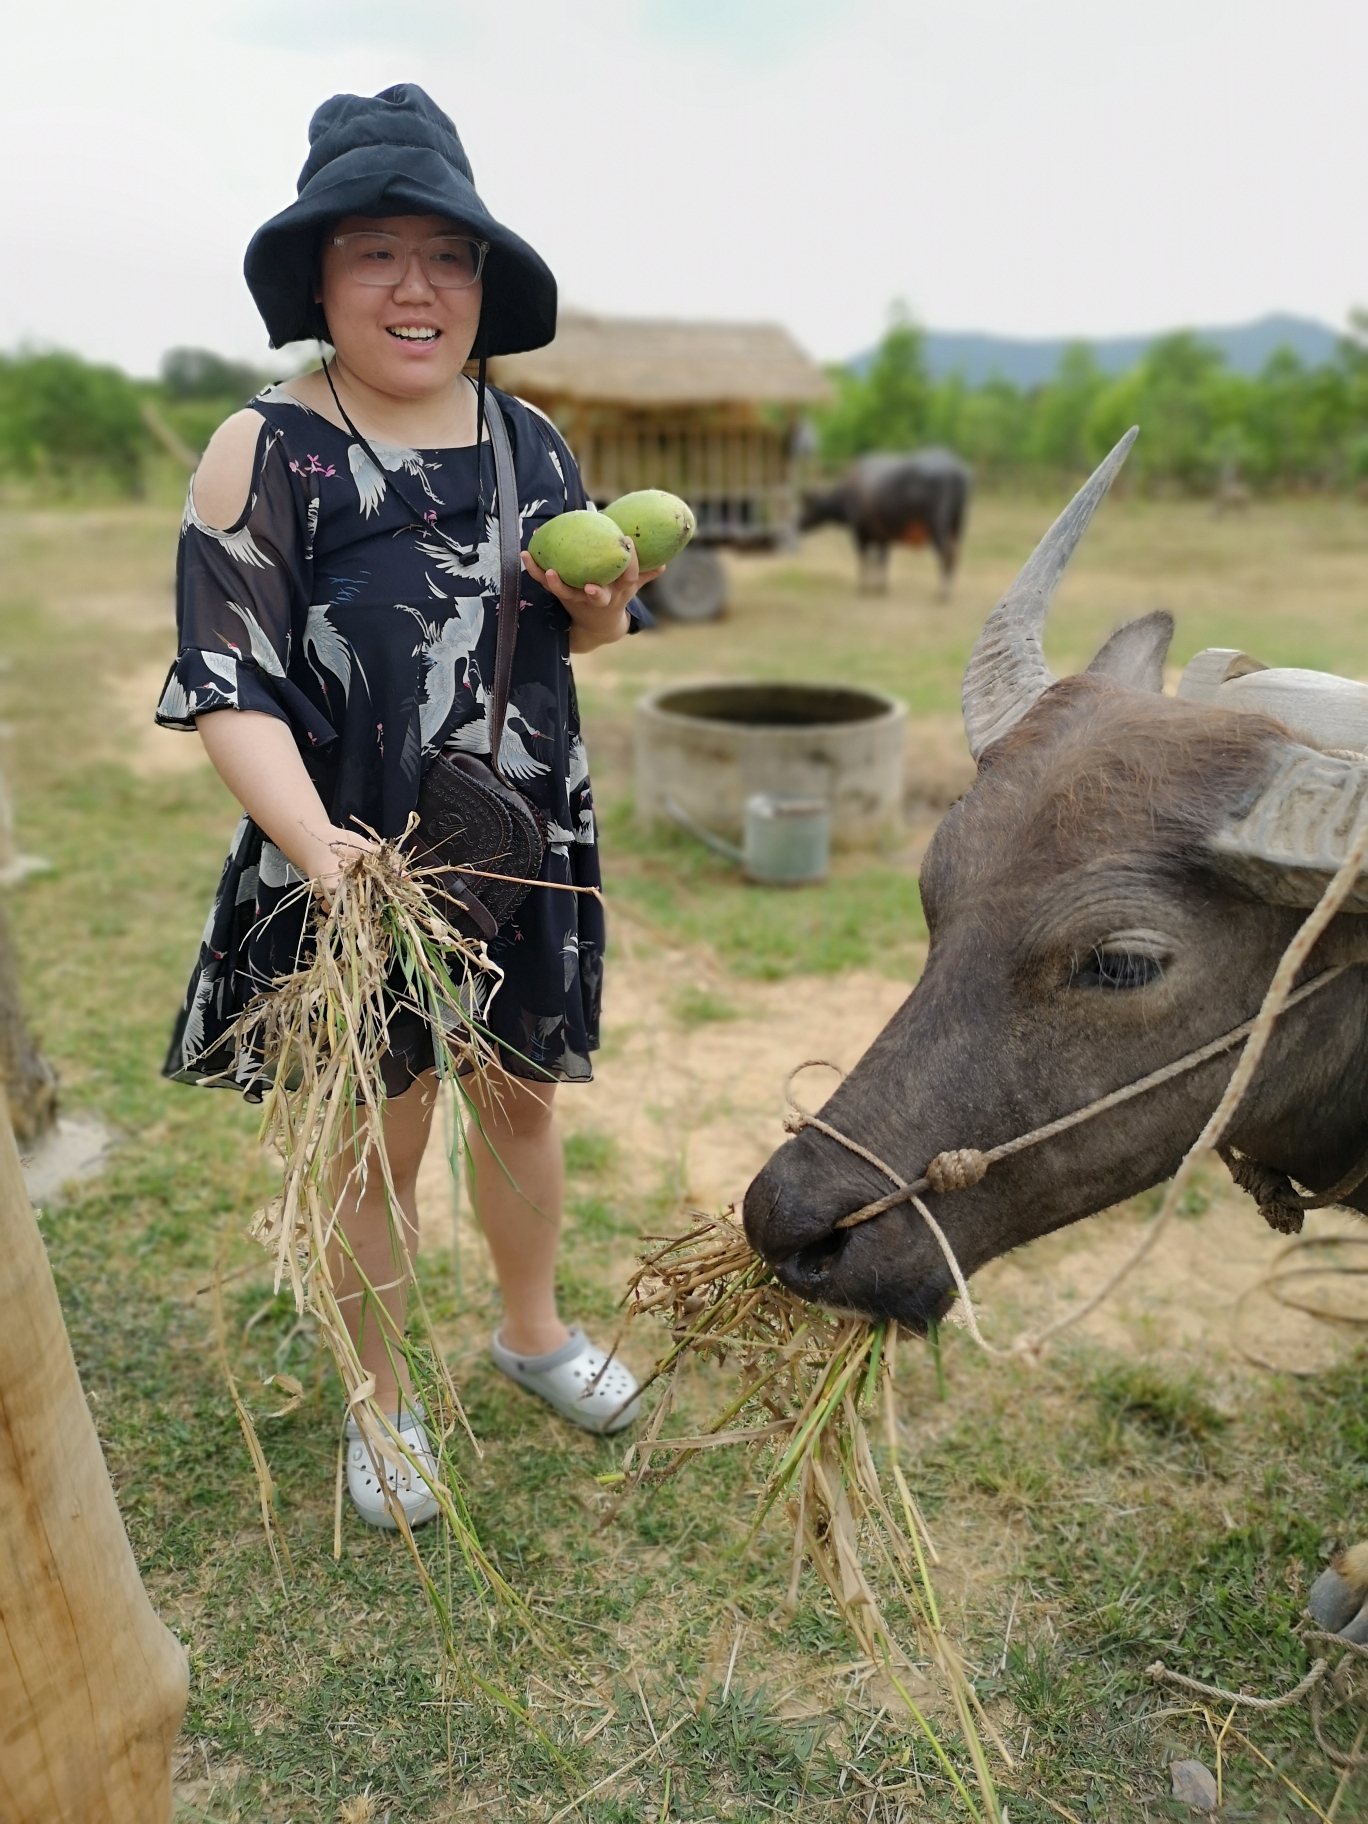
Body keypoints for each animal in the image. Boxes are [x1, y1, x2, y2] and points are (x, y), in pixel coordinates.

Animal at [802, 448, 977, 598]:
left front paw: (863, 587)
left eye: (809, 507)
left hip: (937, 525)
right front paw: (880, 586)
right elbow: (881, 560)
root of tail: (955, 470)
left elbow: (865, 559)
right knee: (956, 553)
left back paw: (943, 592)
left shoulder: (860, 533)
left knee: (946, 553)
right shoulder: (882, 536)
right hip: (958, 524)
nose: (799, 523)